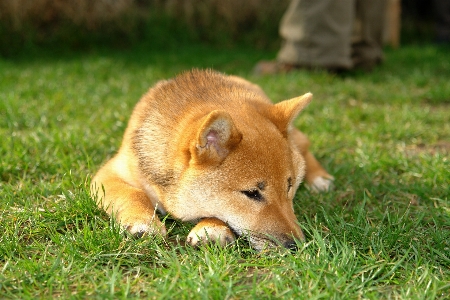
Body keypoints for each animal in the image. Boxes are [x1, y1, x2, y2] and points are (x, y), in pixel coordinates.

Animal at [91, 69, 332, 250]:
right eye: (252, 193)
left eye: (289, 186)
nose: (296, 246)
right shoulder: (106, 175)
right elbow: (132, 193)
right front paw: (142, 221)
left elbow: (217, 210)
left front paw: (211, 228)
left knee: (304, 143)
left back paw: (320, 178)